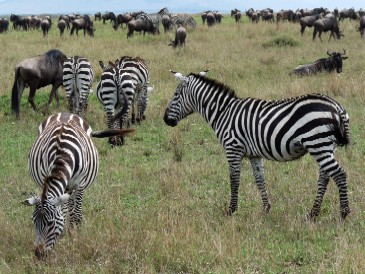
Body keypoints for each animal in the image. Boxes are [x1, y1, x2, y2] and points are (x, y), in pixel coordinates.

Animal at [22, 112, 134, 258]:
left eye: (51, 223)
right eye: (33, 221)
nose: (38, 254)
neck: (61, 155)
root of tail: (64, 113)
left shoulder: (80, 184)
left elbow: (75, 214)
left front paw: (75, 236)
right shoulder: (47, 180)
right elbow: (63, 211)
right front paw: (64, 234)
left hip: (74, 186)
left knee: (74, 208)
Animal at [163, 70, 350, 220]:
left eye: (175, 94)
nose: (165, 120)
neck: (223, 112)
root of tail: (337, 107)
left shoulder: (233, 148)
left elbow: (234, 180)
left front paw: (231, 210)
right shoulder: (254, 154)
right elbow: (260, 180)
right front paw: (266, 209)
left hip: (317, 143)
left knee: (339, 174)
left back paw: (344, 213)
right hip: (326, 146)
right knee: (325, 177)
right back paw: (313, 213)